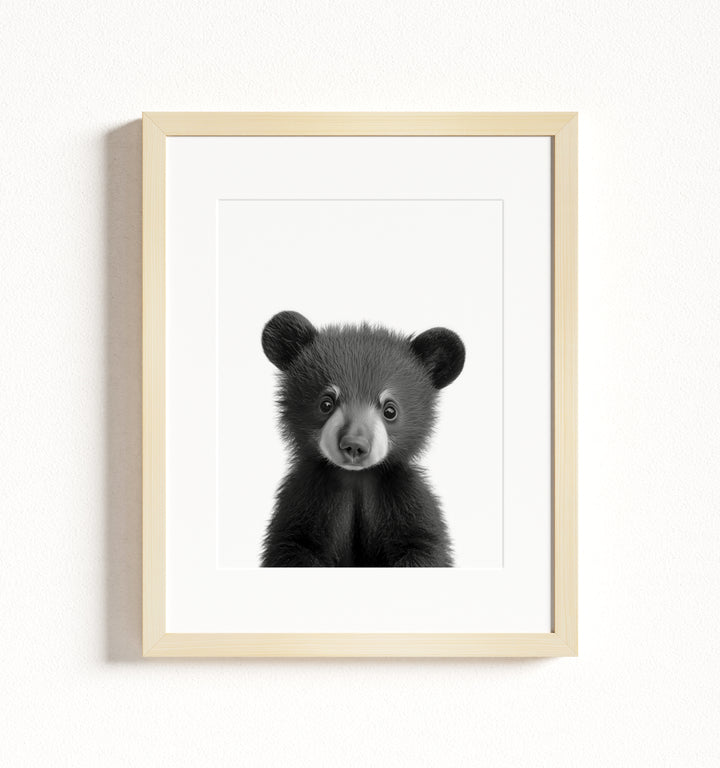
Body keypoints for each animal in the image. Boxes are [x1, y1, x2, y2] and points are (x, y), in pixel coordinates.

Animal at [260, 310, 465, 567]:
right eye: (326, 403)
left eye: (390, 410)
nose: (354, 445)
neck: (356, 478)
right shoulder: (305, 497)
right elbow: (292, 544)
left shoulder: (402, 495)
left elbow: (423, 543)